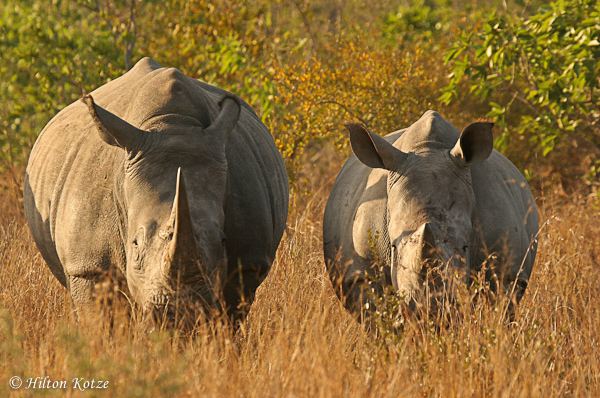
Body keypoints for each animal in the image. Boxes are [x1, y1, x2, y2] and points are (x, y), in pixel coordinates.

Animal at [25, 57, 290, 322]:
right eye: (135, 243)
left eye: (222, 241)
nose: (178, 312)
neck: (171, 122)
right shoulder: (88, 266)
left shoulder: (248, 263)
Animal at [324, 111, 540, 320]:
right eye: (393, 247)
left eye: (465, 247)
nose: (428, 309)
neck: (427, 150)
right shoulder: (360, 273)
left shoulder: (507, 271)